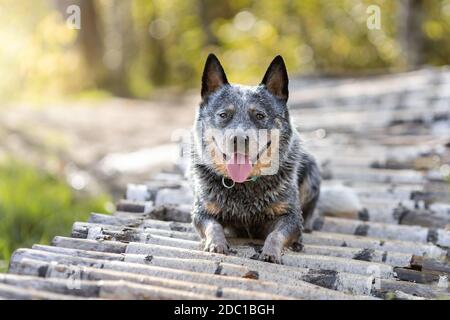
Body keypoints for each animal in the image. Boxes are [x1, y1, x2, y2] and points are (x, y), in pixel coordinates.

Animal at [190, 53, 356, 262]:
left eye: (260, 115)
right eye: (223, 115)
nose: (239, 139)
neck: (245, 185)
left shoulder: (290, 216)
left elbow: (277, 234)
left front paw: (271, 252)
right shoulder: (201, 212)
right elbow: (213, 226)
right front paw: (216, 243)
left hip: (311, 170)